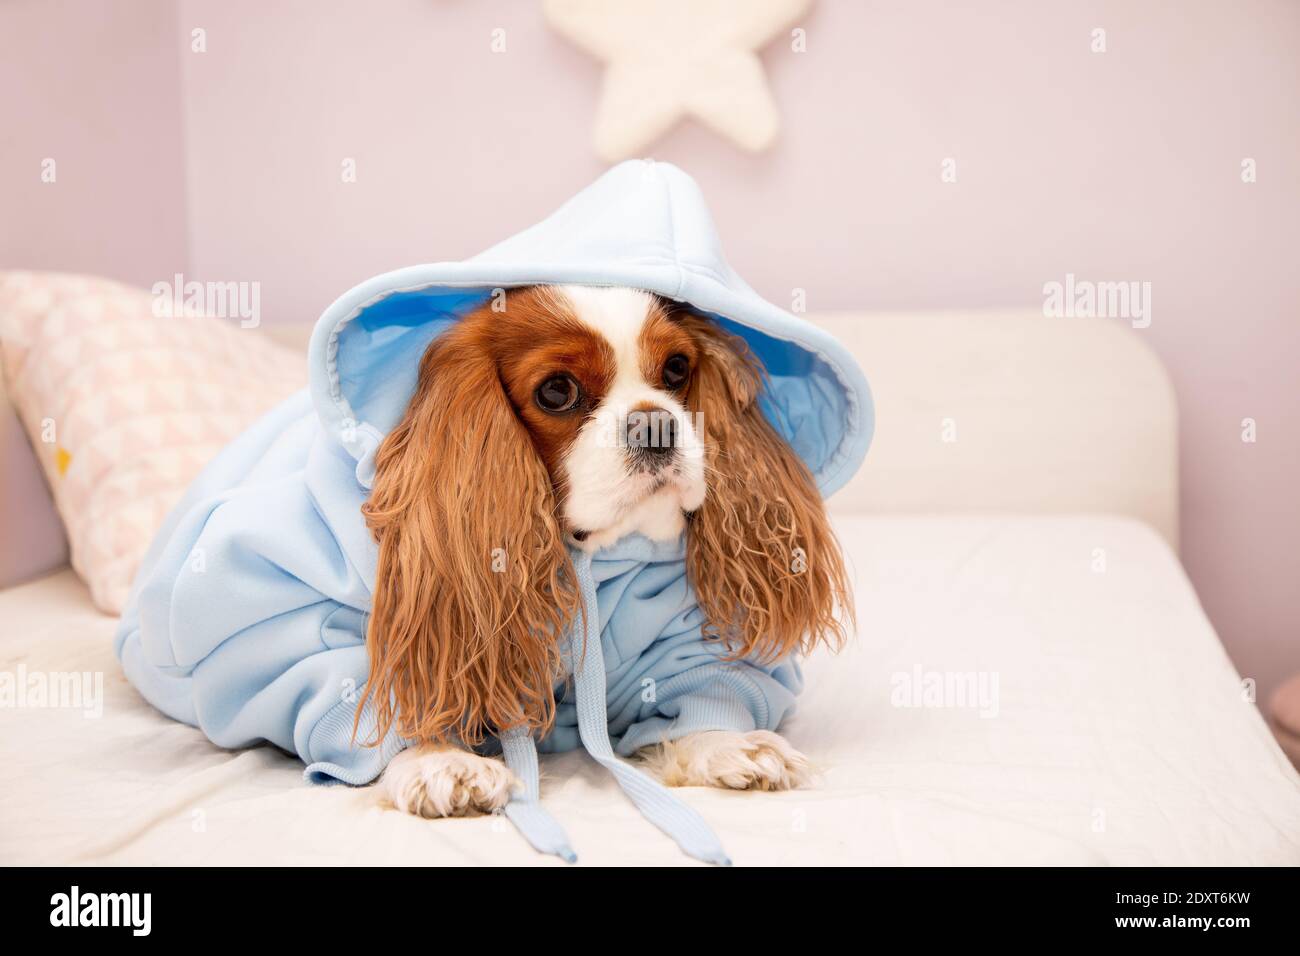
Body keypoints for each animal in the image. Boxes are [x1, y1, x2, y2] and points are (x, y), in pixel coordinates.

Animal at [369, 283, 852, 816]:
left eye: (677, 368)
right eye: (556, 391)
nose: (655, 423)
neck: (583, 554)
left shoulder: (679, 635)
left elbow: (702, 684)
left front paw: (727, 741)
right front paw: (438, 759)